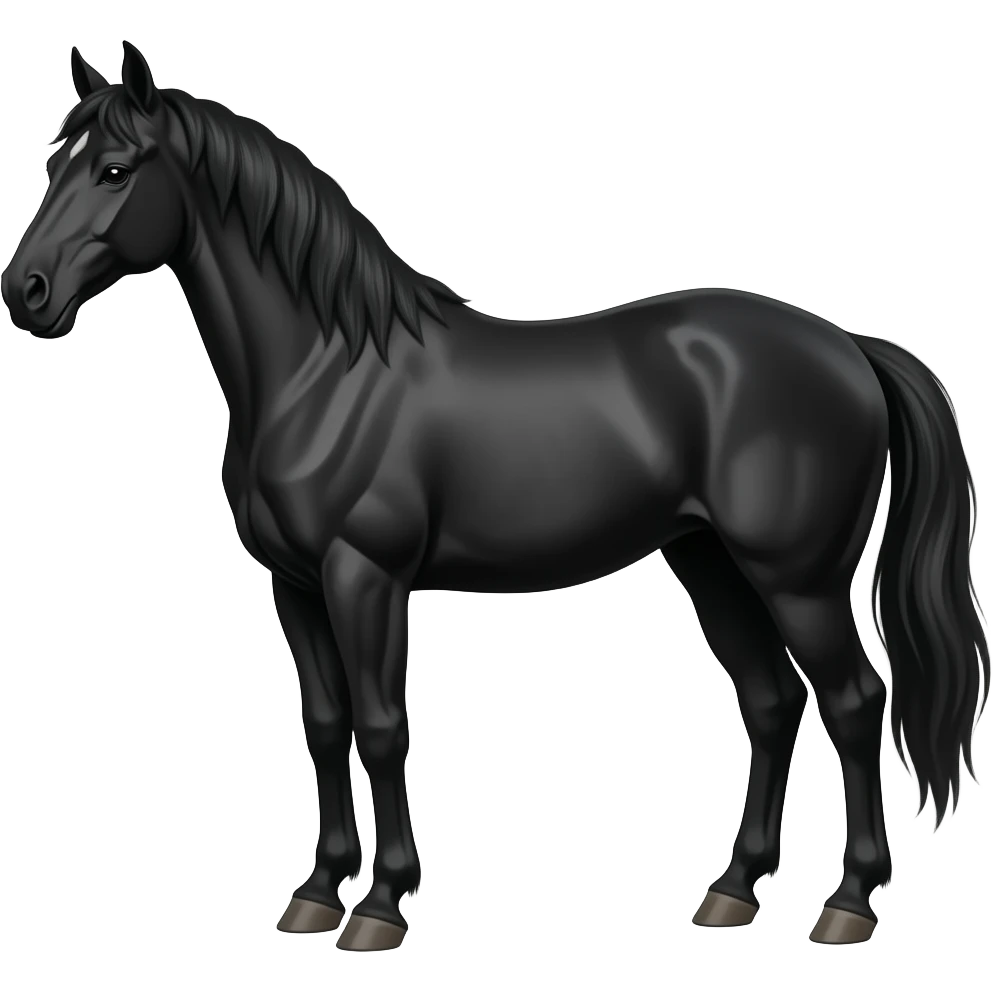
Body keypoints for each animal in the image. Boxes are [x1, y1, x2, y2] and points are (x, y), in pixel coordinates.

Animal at [2, 42, 988, 951]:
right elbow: (323, 725)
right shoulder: (295, 583)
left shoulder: (366, 576)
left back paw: (847, 904)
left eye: (116, 169)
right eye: (54, 162)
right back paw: (732, 890)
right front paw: (316, 891)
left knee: (853, 704)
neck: (326, 369)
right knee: (772, 702)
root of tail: (850, 347)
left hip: (798, 579)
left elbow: (379, 726)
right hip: (710, 562)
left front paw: (380, 905)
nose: (27, 292)